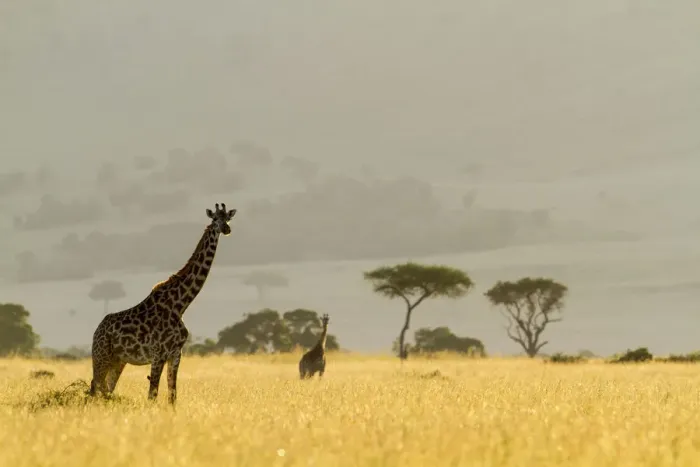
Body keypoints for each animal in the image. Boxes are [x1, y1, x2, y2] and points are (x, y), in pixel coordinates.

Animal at [89, 203, 236, 405]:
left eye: (228, 218)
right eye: (215, 218)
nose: (226, 229)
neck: (180, 305)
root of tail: (97, 330)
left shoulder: (175, 354)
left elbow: (172, 394)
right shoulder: (158, 354)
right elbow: (152, 394)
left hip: (118, 360)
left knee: (106, 388)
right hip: (101, 356)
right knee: (94, 387)